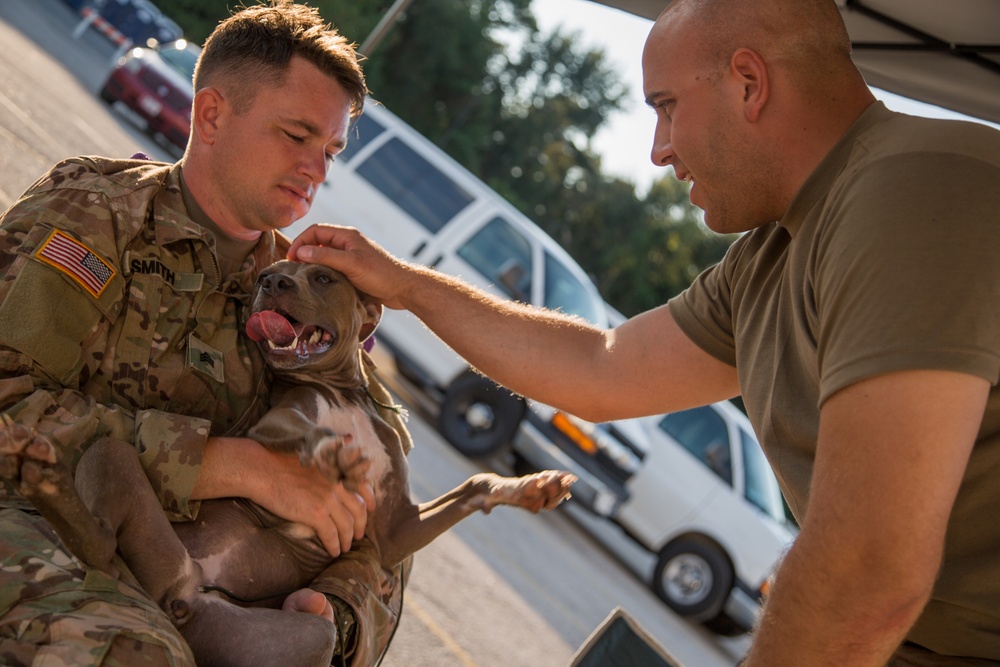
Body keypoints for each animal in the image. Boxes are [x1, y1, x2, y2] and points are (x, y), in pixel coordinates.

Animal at [0, 260, 576, 667]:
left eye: (322, 276)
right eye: (266, 275)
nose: (272, 281)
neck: (341, 393)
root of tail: (180, 591)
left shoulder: (395, 530)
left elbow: (475, 484)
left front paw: (532, 488)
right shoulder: (266, 429)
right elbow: (302, 433)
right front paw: (332, 456)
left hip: (287, 633)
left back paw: (46, 481)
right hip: (113, 457)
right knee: (101, 526)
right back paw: (46, 480)